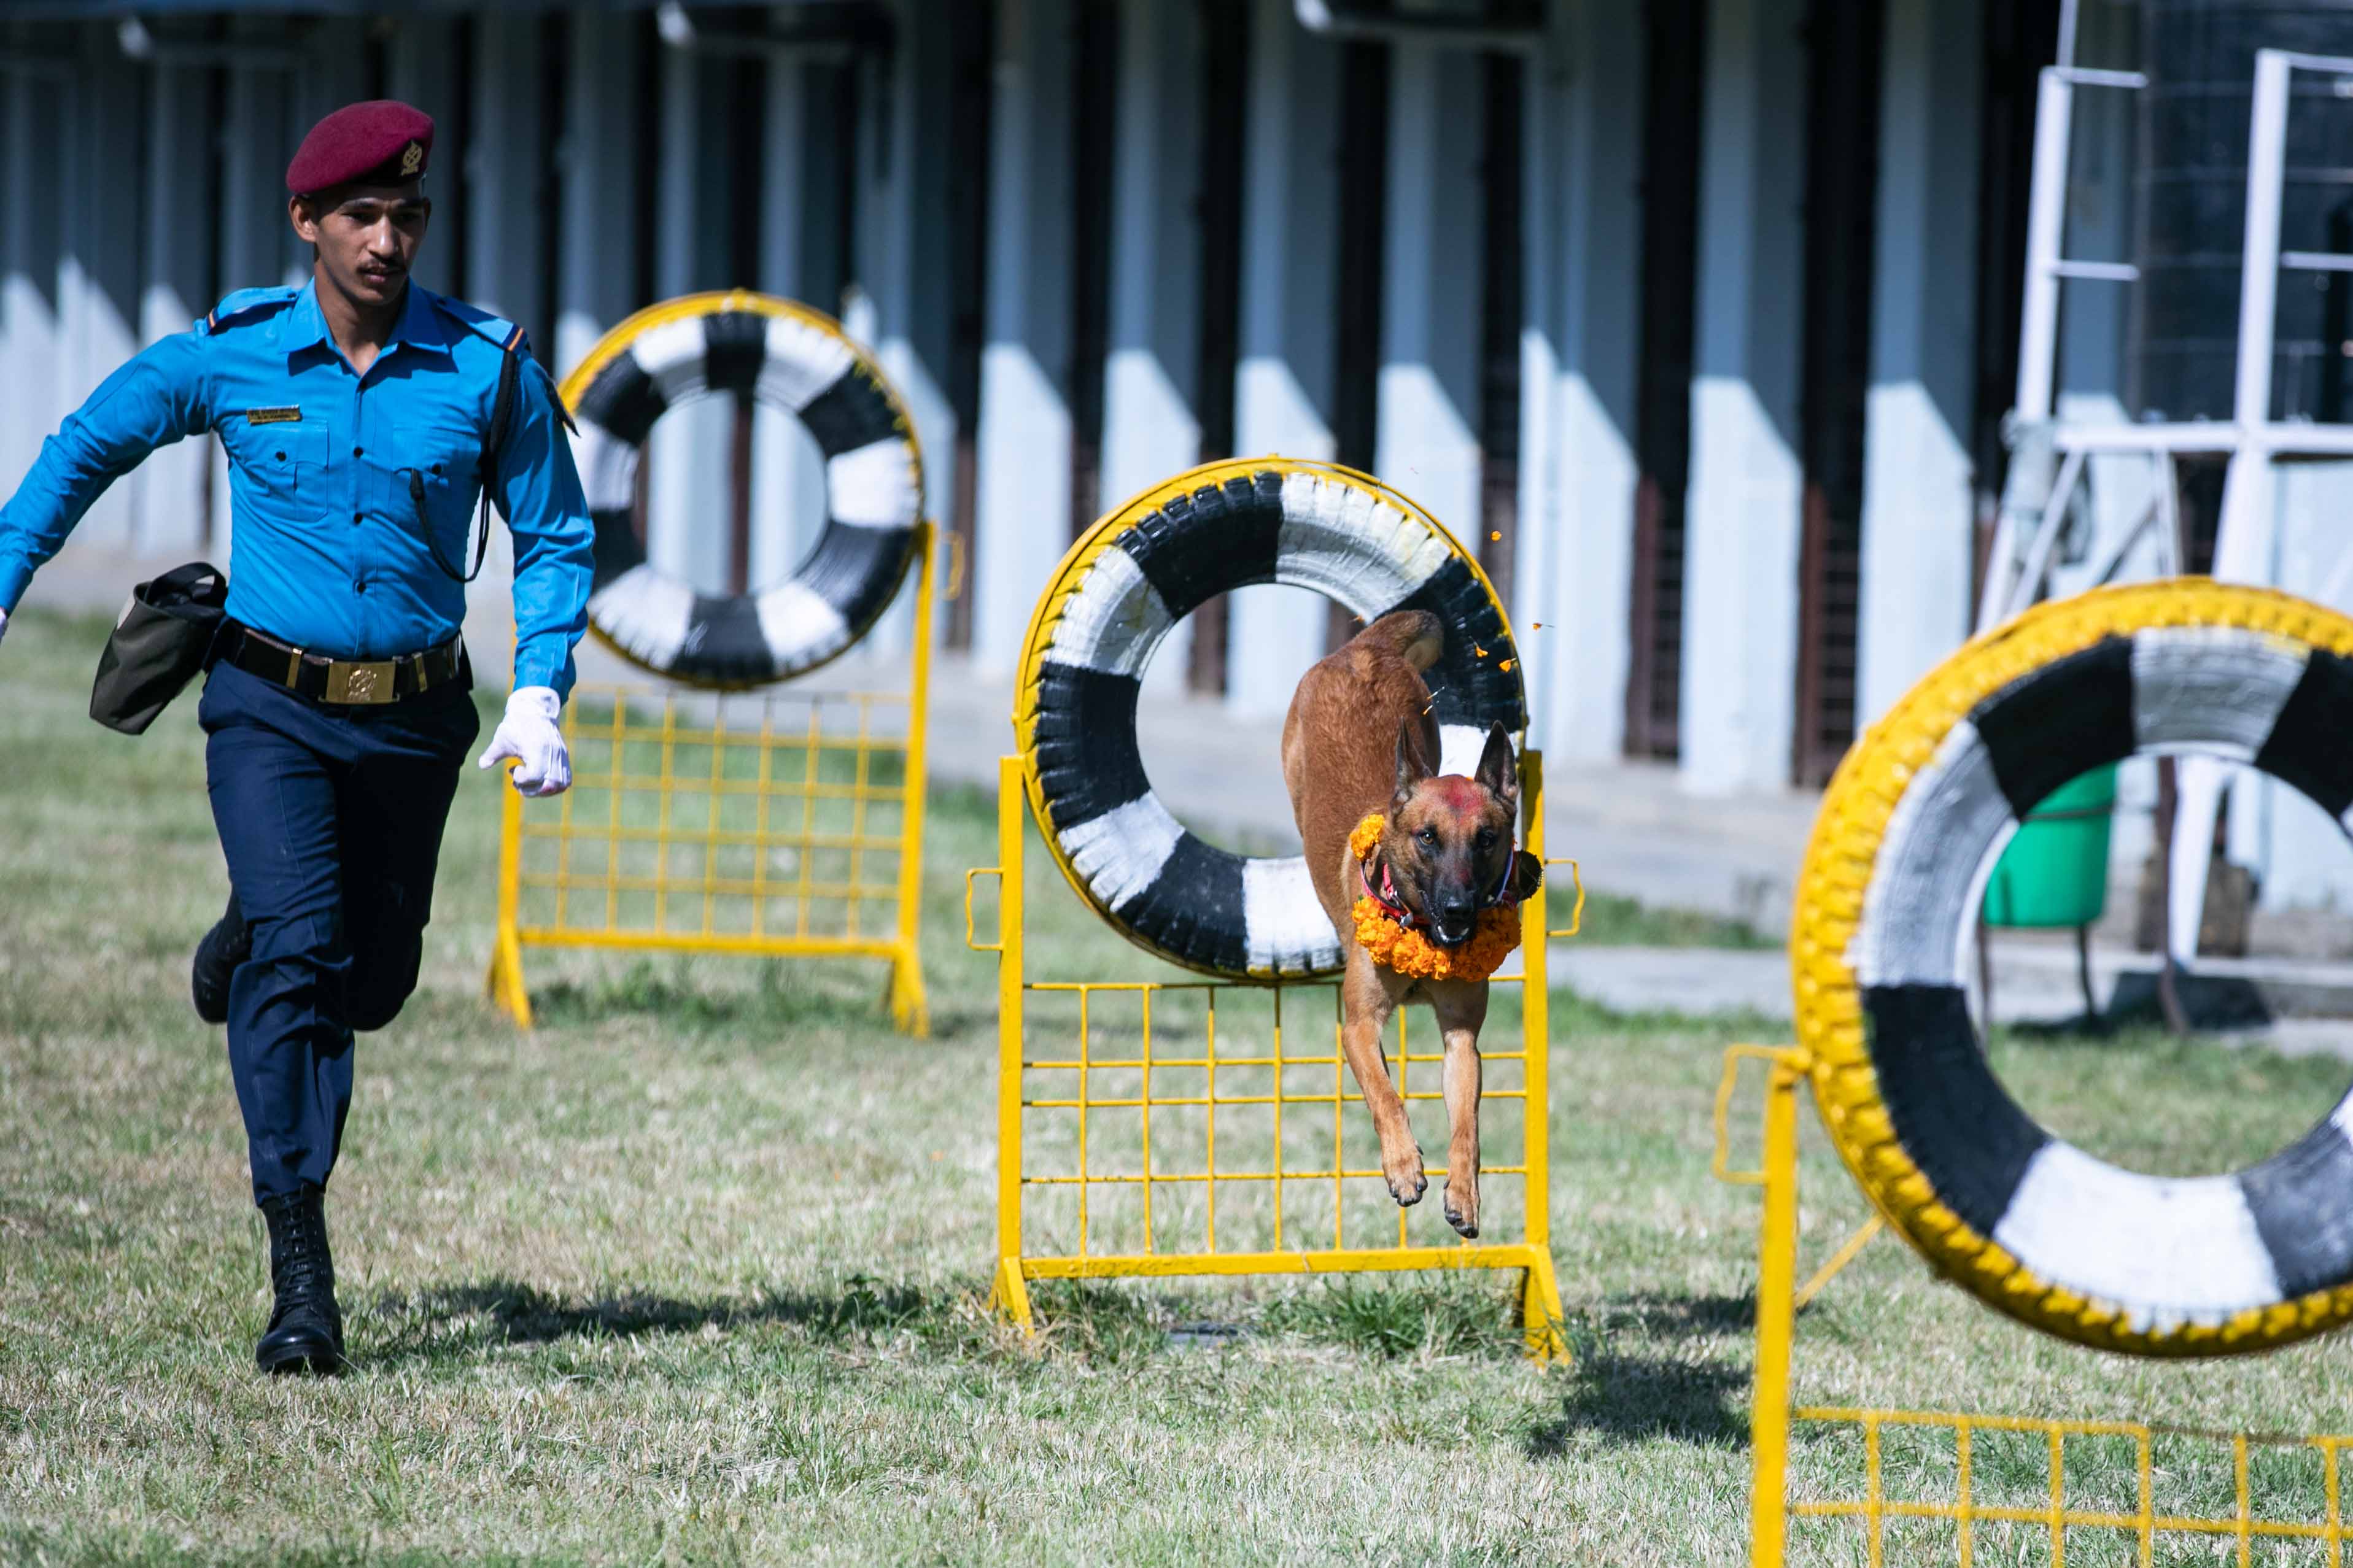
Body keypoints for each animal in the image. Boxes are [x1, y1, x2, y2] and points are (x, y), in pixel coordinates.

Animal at [1280, 611, 1534, 1241]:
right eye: (1427, 838)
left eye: (1486, 839)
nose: (1459, 909)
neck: (1418, 927)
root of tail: (1364, 649)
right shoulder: (1358, 1025)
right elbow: (1384, 1095)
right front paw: (1402, 1168)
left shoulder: (1461, 1039)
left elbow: (1466, 1126)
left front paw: (1463, 1194)